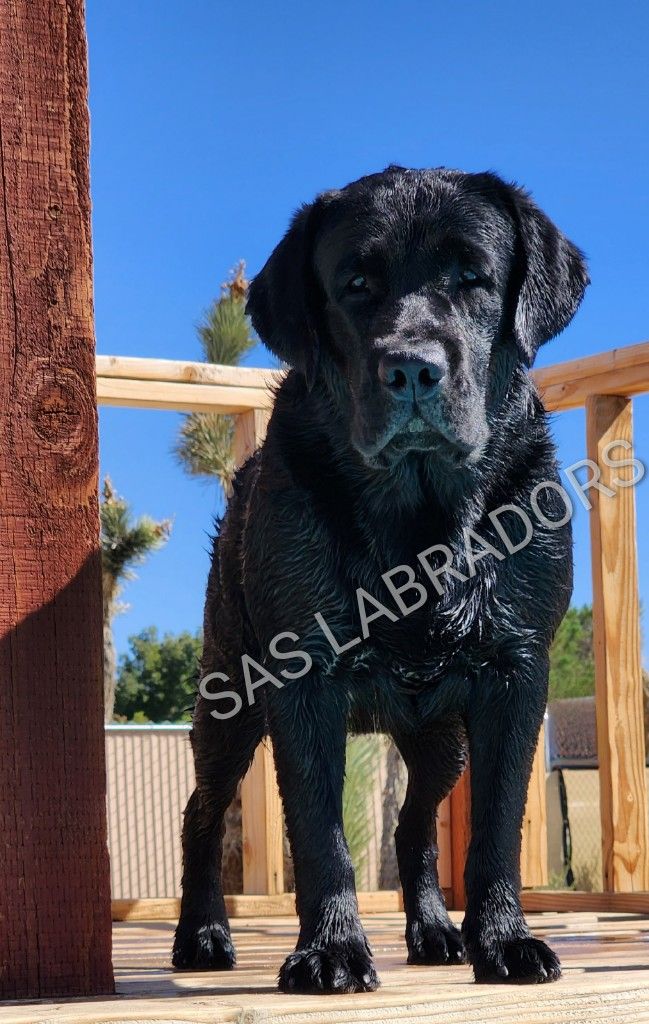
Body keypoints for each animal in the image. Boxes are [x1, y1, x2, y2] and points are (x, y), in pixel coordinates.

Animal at [173, 165, 588, 993]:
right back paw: (201, 936)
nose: (412, 367)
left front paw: (504, 940)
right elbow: (319, 835)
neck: (418, 521)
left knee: (412, 825)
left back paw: (434, 931)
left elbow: (496, 824)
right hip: (229, 698)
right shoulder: (301, 675)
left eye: (473, 278)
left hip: (438, 740)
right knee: (201, 813)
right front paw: (330, 950)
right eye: (356, 284)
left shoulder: (515, 671)